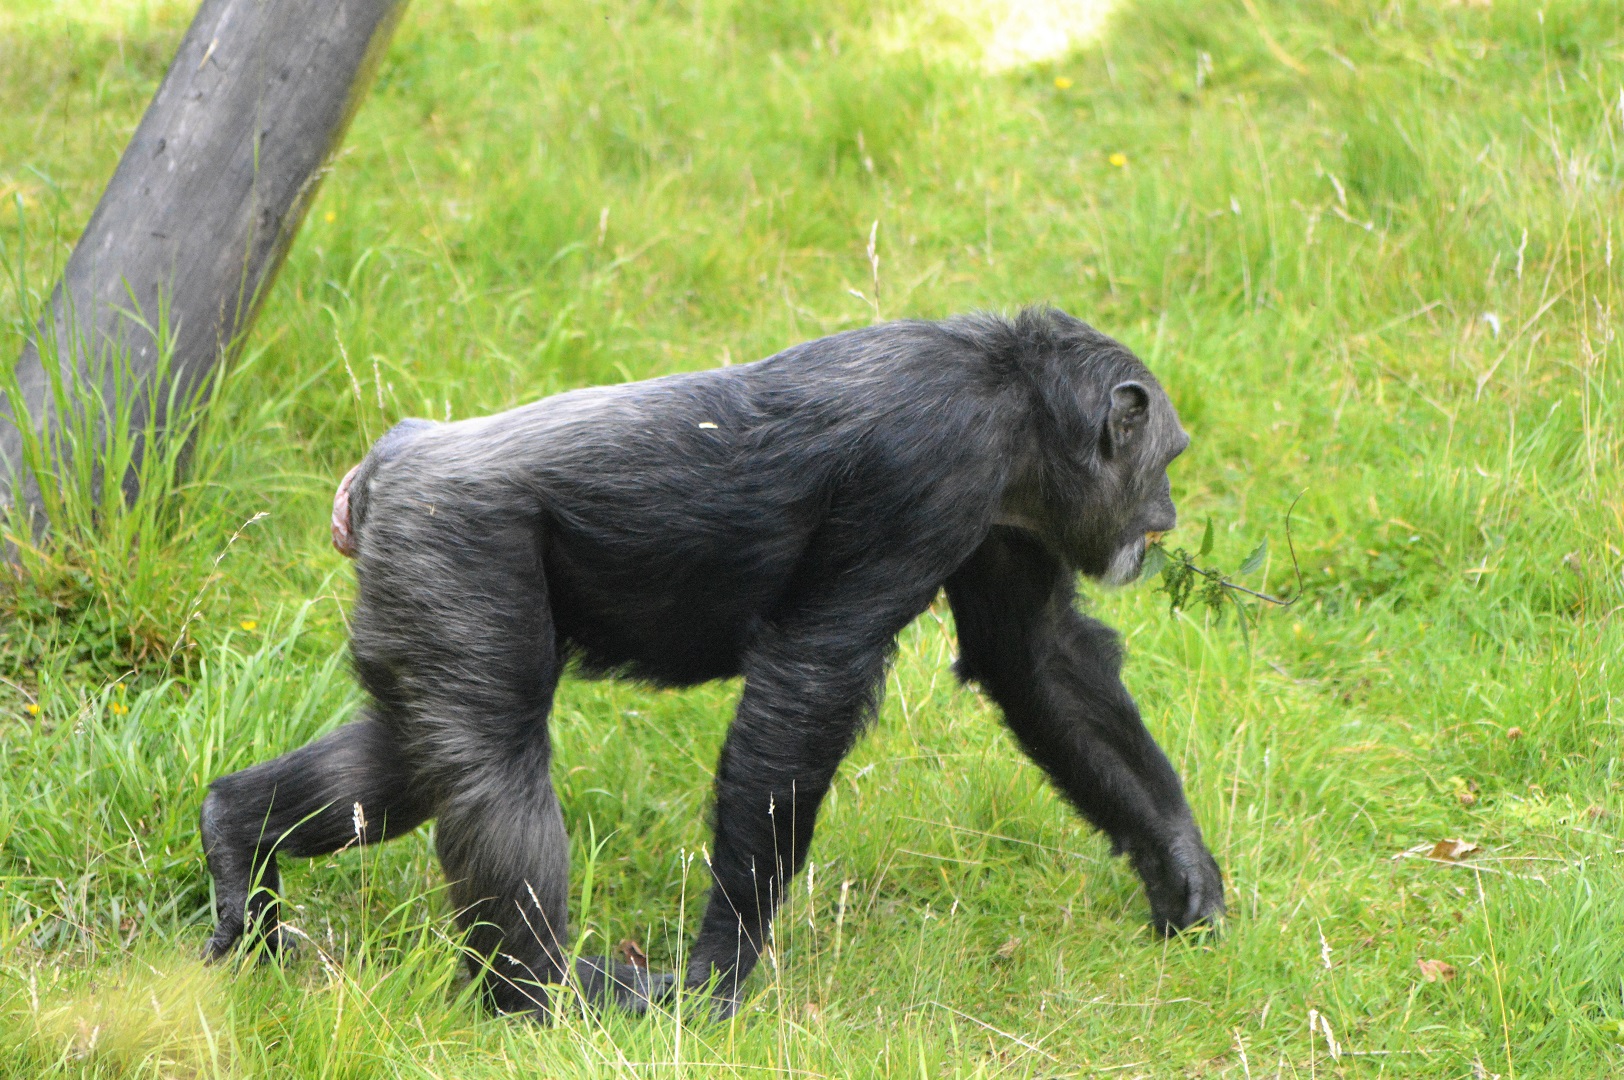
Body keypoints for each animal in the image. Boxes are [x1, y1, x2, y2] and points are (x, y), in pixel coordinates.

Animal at [200, 306, 1223, 1020]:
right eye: (1169, 455)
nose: (1169, 512)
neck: (1014, 409)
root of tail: (380, 465)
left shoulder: (1008, 526)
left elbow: (1039, 660)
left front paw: (1182, 870)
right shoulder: (928, 468)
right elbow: (808, 683)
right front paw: (716, 970)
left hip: (414, 583)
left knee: (405, 759)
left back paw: (240, 840)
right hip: (457, 541)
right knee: (495, 761)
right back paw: (536, 999)